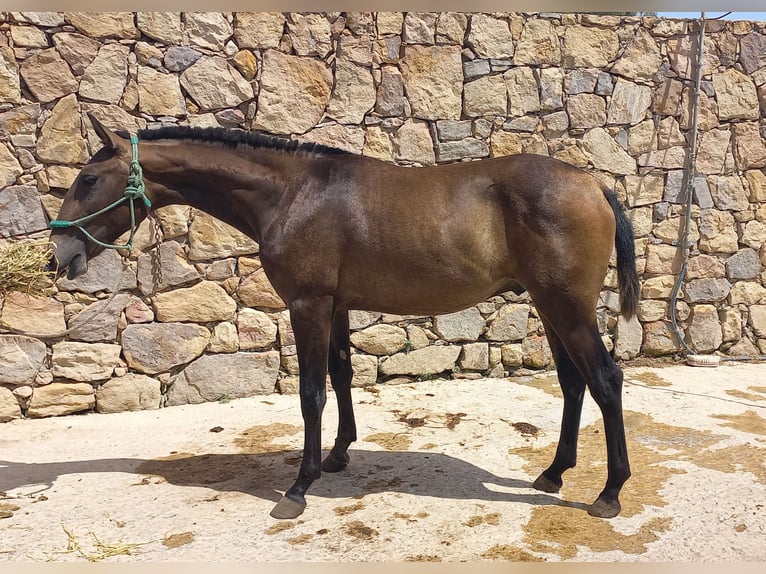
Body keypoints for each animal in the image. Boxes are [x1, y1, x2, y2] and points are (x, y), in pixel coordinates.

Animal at [48, 115, 640, 524]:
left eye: (89, 179)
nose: (61, 255)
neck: (293, 193)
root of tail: (594, 184)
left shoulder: (307, 304)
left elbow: (311, 392)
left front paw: (298, 488)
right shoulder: (334, 306)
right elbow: (340, 375)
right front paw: (337, 455)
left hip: (567, 308)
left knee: (605, 380)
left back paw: (610, 493)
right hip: (550, 306)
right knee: (573, 383)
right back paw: (554, 473)